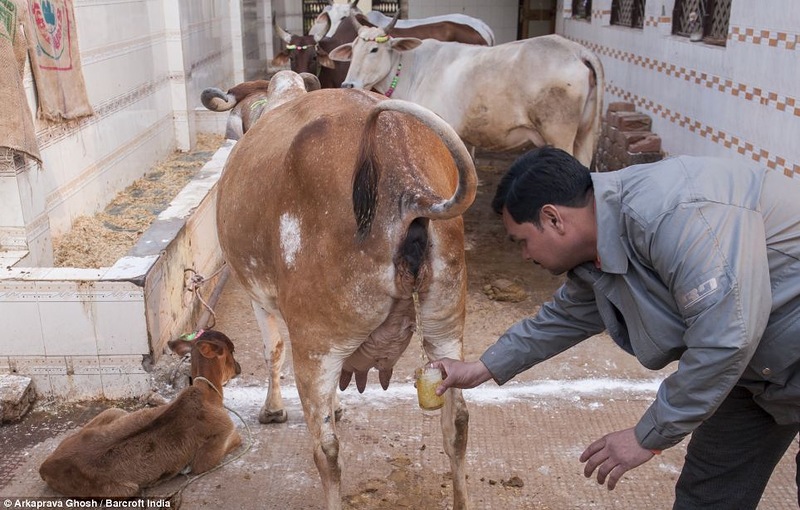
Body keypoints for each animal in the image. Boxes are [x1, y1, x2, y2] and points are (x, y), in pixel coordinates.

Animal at [38, 328, 244, 496]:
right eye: (232, 350)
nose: (239, 368)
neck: (209, 395)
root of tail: (45, 467)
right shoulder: (209, 453)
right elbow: (237, 439)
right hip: (126, 491)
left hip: (113, 411)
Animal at [216, 85, 476, 508]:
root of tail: (407, 185)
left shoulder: (259, 296)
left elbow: (272, 349)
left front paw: (273, 410)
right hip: (446, 328)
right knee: (457, 423)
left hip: (316, 345)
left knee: (327, 451)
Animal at [332, 25, 608, 167]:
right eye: (353, 49)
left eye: (374, 49)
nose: (348, 84)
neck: (413, 68)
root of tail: (576, 50)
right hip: (583, 135)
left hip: (559, 132)